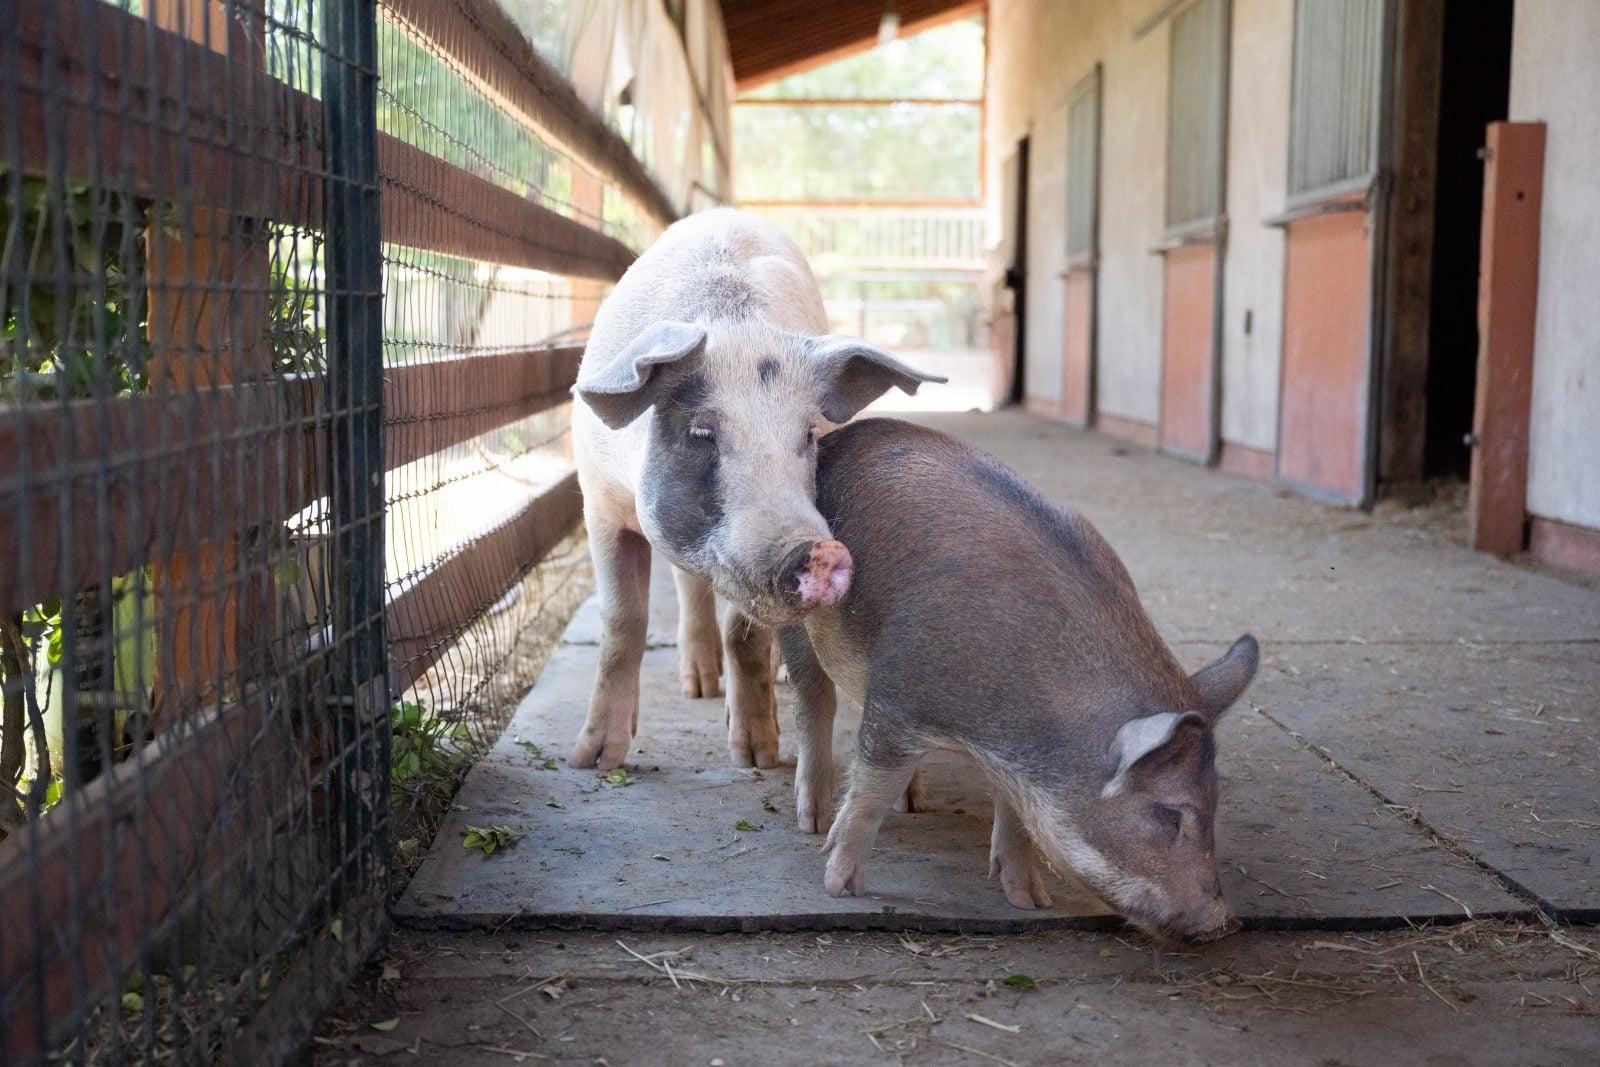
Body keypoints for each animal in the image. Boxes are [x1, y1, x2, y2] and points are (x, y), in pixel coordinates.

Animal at [569, 210, 945, 772]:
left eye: (807, 434)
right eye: (701, 432)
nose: (818, 550)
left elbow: (743, 635)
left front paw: (756, 758)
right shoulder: (599, 501)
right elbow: (622, 621)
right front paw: (593, 761)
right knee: (689, 589)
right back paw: (698, 688)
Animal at [780, 418, 1259, 943]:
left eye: (1216, 802)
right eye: (1170, 812)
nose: (1224, 924)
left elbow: (1015, 814)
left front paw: (1030, 901)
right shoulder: (898, 700)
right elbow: (870, 792)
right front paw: (840, 888)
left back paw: (913, 804)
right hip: (794, 619)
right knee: (814, 701)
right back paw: (812, 820)